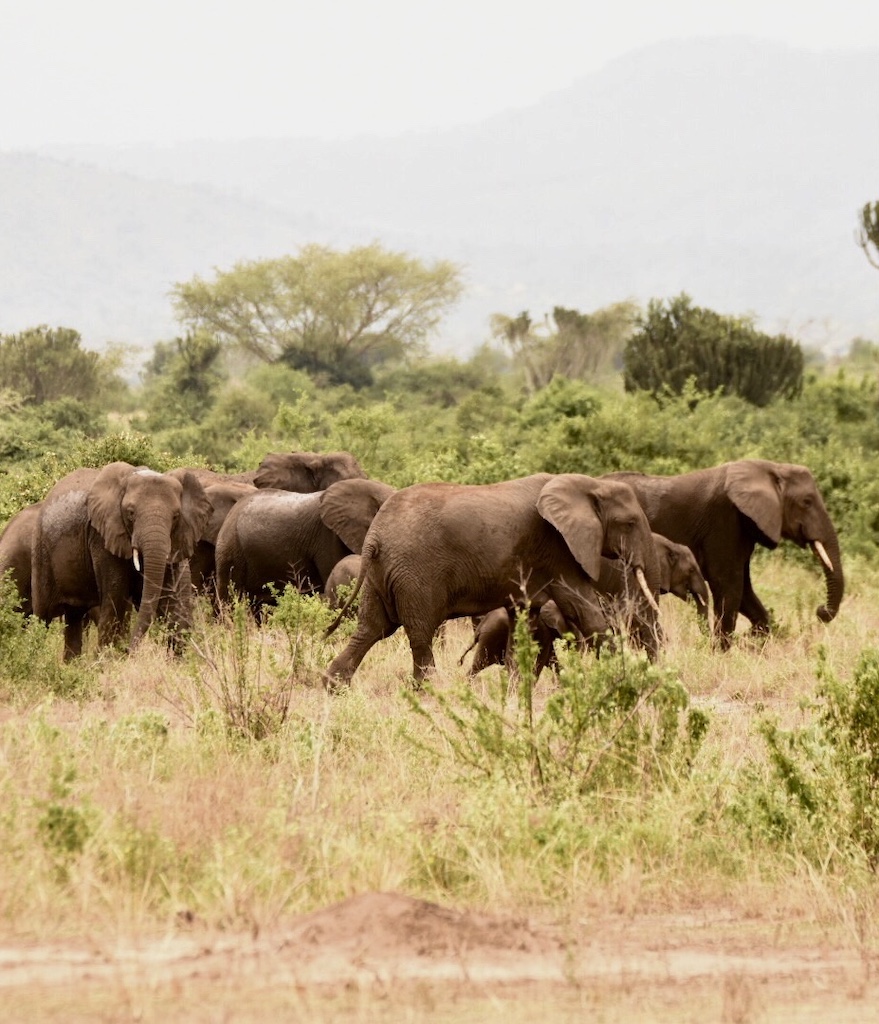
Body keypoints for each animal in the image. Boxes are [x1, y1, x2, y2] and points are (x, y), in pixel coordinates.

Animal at [31, 462, 212, 659]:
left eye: (176, 516)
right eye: (130, 513)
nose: (129, 651)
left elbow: (174, 606)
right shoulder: (101, 537)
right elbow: (116, 603)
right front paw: (108, 660)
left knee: (74, 617)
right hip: (41, 552)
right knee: (43, 617)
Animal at [321, 473, 655, 688]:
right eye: (629, 523)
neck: (589, 484)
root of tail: (373, 537)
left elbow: (523, 622)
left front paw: (517, 688)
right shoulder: (557, 549)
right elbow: (581, 606)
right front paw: (623, 676)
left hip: (382, 574)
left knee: (371, 628)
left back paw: (332, 686)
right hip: (415, 574)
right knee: (419, 633)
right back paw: (430, 692)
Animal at [602, 462, 844, 647]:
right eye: (807, 502)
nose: (820, 611)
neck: (770, 468)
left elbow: (743, 589)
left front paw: (754, 640)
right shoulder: (725, 520)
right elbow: (728, 584)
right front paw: (721, 651)